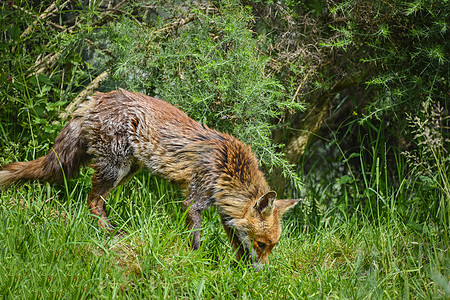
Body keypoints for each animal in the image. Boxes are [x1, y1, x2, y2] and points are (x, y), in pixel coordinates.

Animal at [0, 88, 298, 268]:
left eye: (272, 247)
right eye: (262, 244)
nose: (262, 271)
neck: (229, 169)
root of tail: (99, 97)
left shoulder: (225, 211)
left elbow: (237, 243)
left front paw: (239, 268)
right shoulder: (195, 198)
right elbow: (196, 238)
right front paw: (197, 260)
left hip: (127, 171)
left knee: (98, 201)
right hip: (115, 167)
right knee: (93, 201)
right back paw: (111, 233)